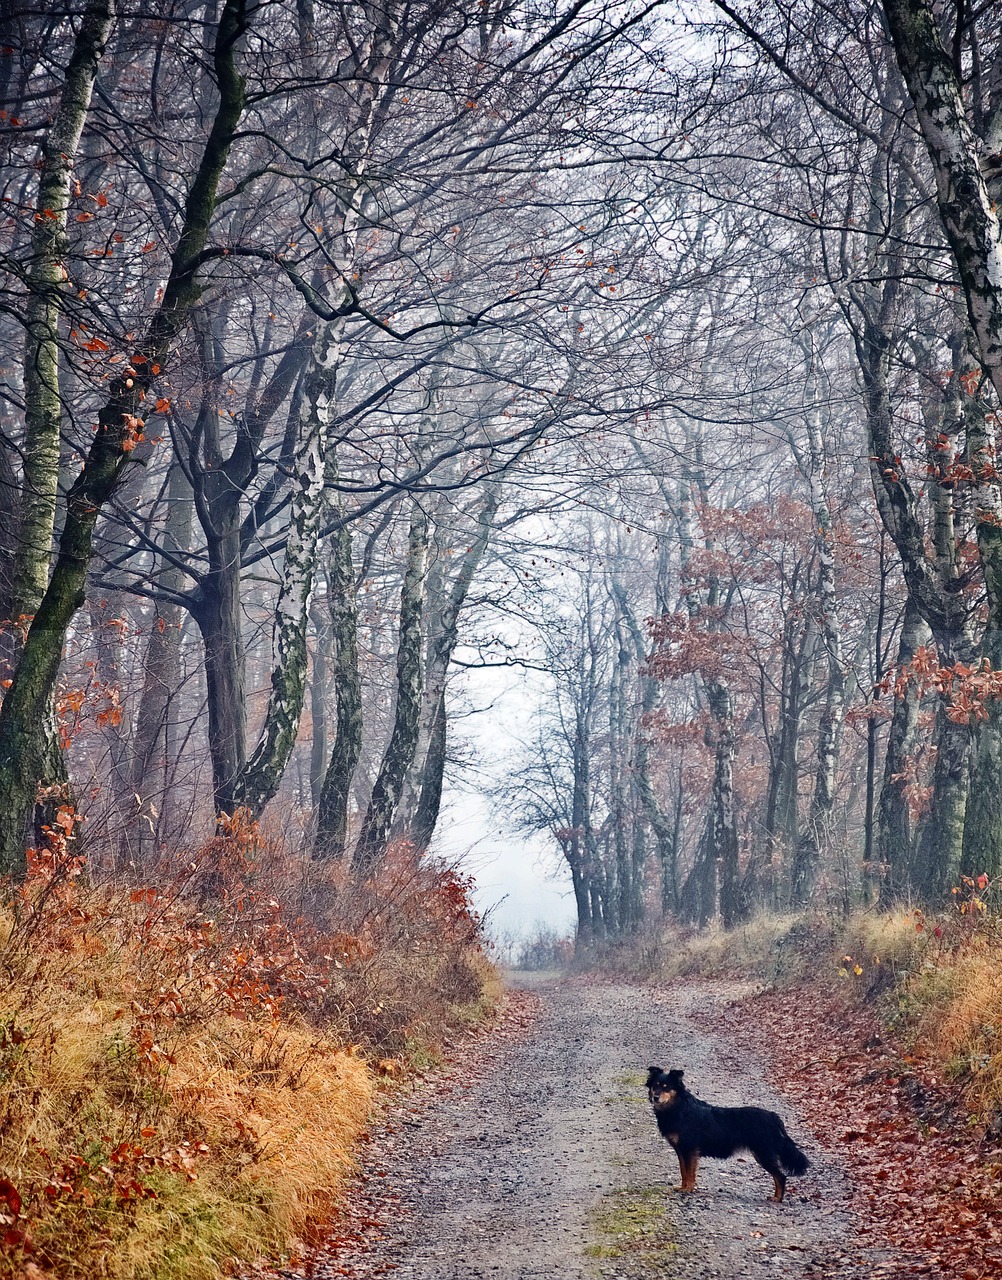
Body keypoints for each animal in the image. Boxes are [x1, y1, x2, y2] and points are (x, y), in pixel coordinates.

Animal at [647, 1059, 808, 1198]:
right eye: (655, 1085)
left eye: (666, 1087)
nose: (655, 1097)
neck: (678, 1107)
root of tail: (773, 1117)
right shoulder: (681, 1149)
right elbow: (683, 1170)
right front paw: (683, 1187)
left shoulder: (690, 1149)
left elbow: (690, 1171)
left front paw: (688, 1189)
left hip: (764, 1153)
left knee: (780, 1176)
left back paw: (777, 1198)